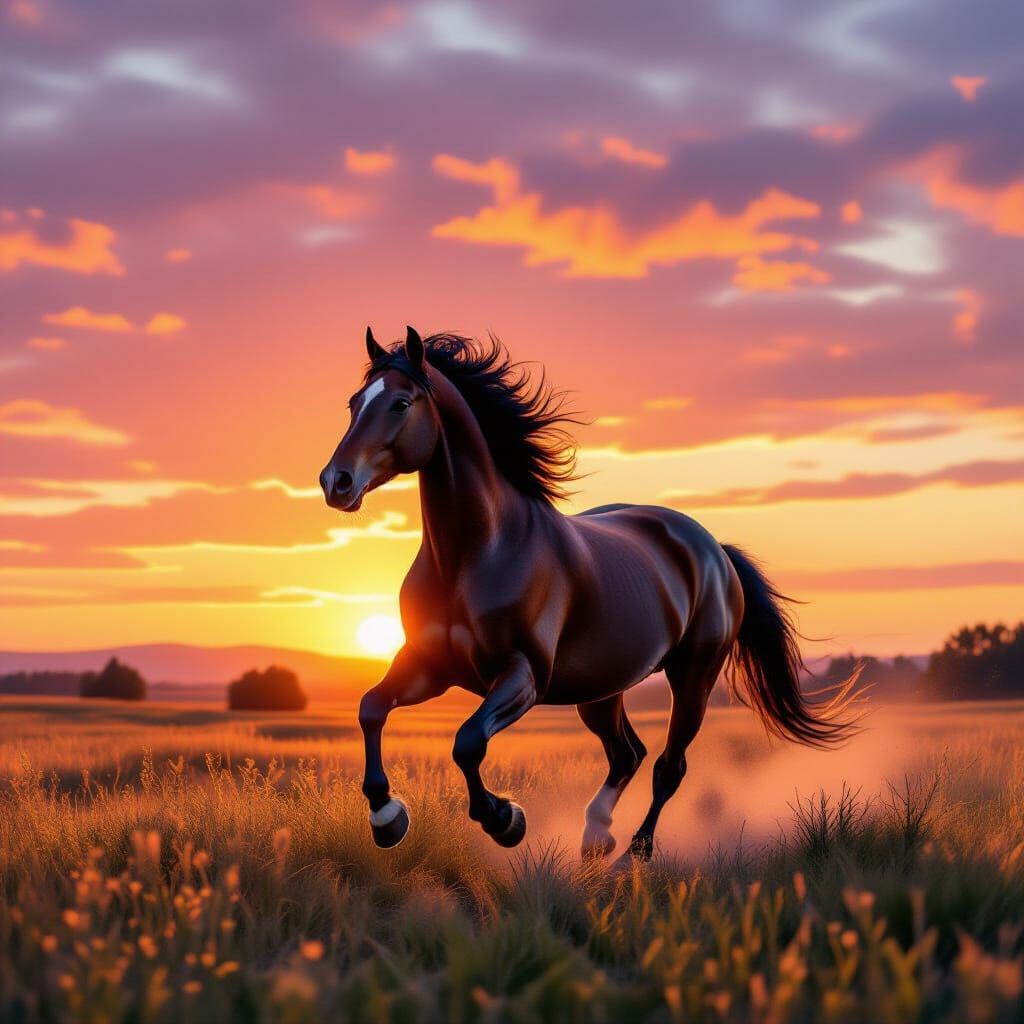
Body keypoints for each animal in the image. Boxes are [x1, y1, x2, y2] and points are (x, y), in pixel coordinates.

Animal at [319, 326, 859, 860]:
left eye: (401, 403)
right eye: (353, 403)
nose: (335, 482)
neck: (475, 556)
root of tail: (713, 550)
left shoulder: (523, 676)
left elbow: (467, 741)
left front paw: (505, 820)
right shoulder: (430, 666)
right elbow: (371, 708)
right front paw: (387, 818)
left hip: (694, 677)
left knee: (668, 766)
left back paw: (632, 854)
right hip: (601, 689)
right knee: (627, 754)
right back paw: (595, 837)